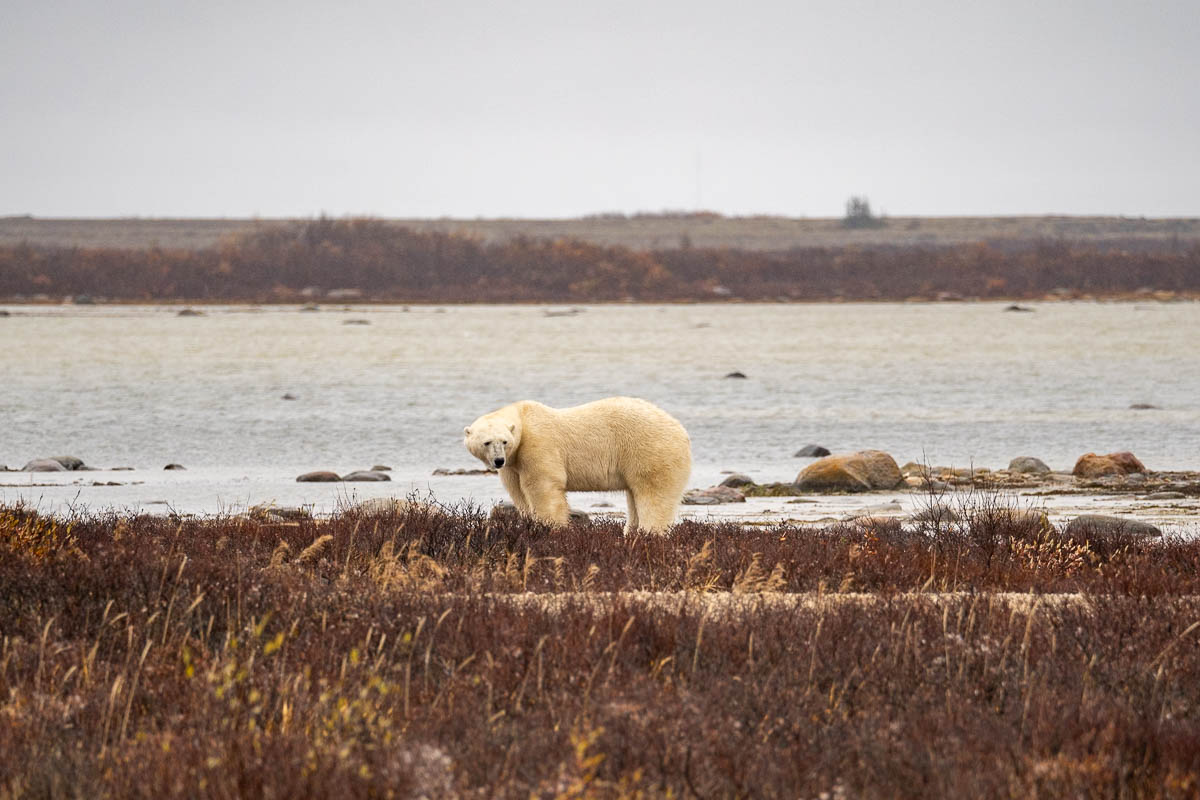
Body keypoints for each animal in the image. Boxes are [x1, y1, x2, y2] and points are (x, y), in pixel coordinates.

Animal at [468, 398, 696, 534]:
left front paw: (550, 527)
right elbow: (519, 494)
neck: (523, 418)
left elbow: (544, 487)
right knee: (634, 496)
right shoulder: (513, 464)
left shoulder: (538, 445)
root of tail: (682, 431)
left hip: (650, 452)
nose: (498, 460)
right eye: (486, 442)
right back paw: (631, 533)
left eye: (504, 441)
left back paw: (648, 533)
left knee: (654, 495)